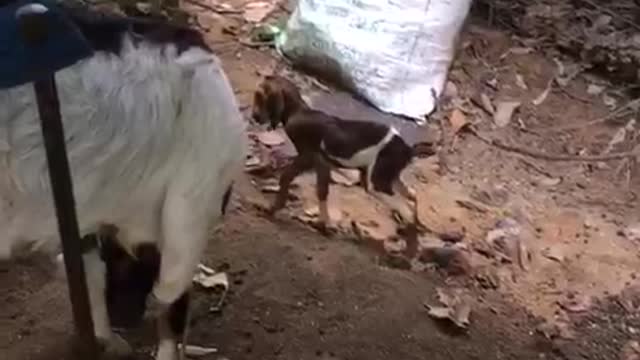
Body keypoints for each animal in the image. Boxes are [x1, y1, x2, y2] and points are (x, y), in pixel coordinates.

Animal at [250, 76, 420, 232]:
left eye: (259, 95)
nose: (254, 116)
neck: (298, 111)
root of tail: (407, 149)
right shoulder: (322, 163)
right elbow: (322, 191)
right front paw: (322, 223)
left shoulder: (307, 156)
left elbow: (286, 177)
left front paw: (272, 208)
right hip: (387, 175)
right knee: (412, 195)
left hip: (375, 181)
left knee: (405, 209)